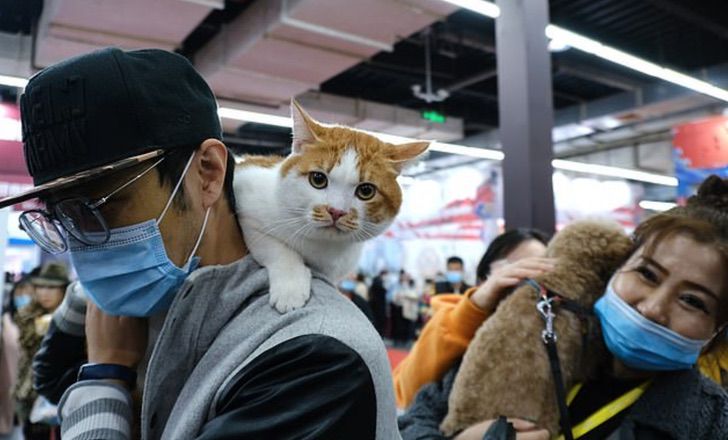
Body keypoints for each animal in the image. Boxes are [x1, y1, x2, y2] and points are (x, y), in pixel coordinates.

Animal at [233, 100, 430, 312]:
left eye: (366, 191)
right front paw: (290, 287)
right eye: (318, 179)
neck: (322, 246)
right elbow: (277, 248)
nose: (337, 211)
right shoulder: (247, 206)